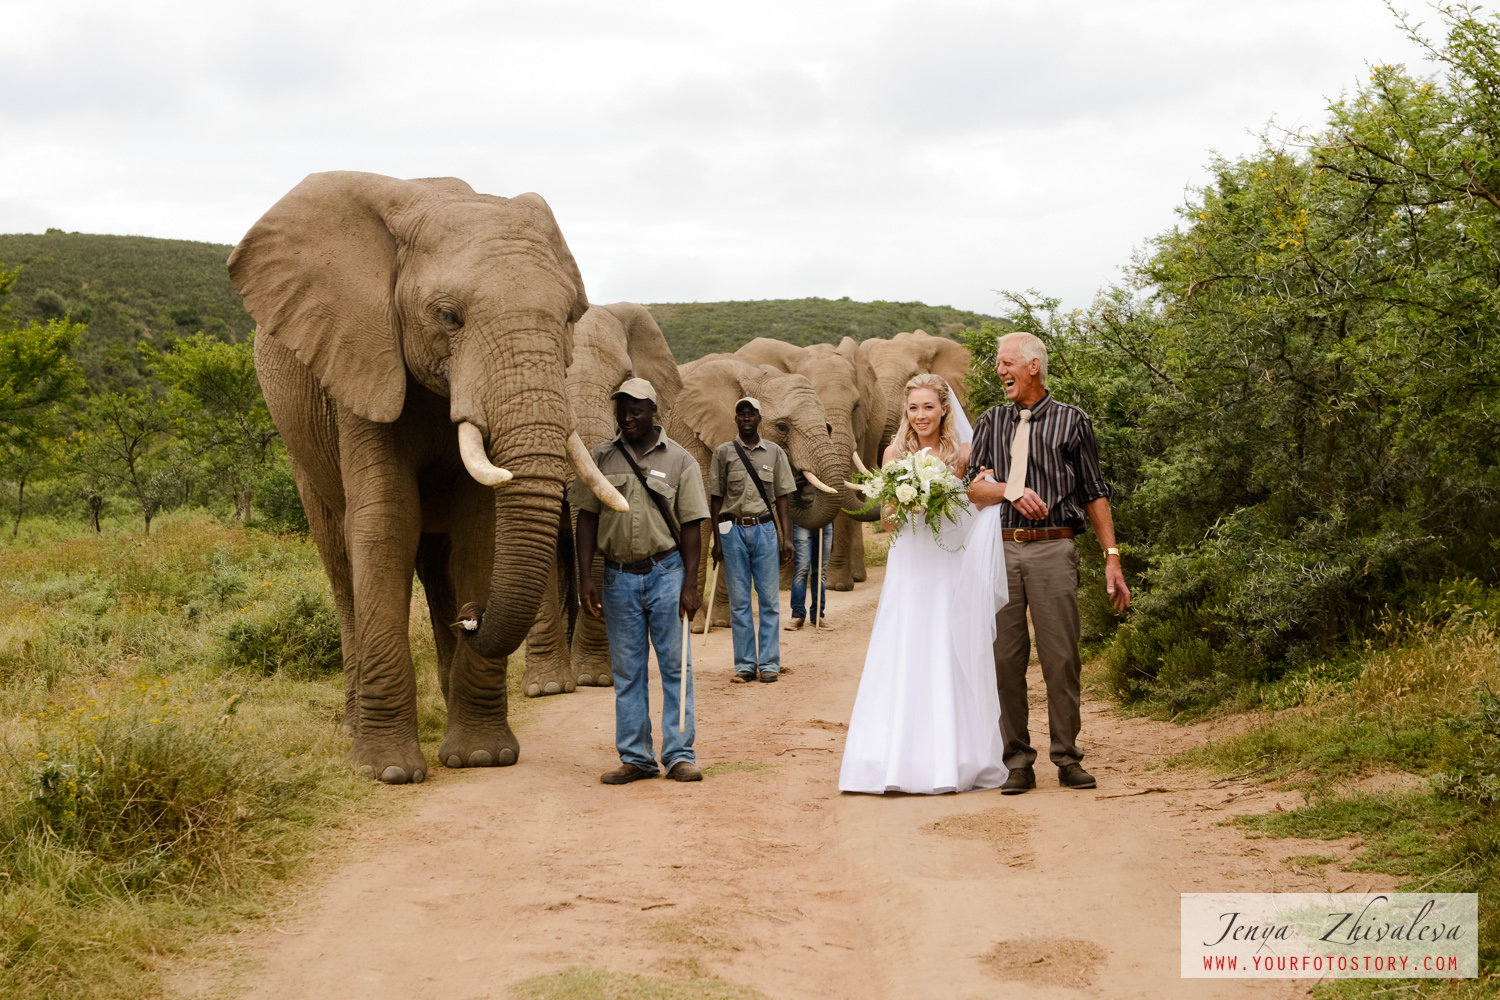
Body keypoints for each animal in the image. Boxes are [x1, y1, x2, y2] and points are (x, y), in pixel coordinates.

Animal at [229, 171, 624, 784]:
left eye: (569, 318)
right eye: (448, 317)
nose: (474, 619)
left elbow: (477, 530)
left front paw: (482, 758)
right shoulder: (361, 360)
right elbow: (386, 522)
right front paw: (387, 771)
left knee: (438, 566)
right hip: (302, 449)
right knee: (340, 561)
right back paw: (352, 728)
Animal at [665, 355, 845, 631]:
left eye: (828, 426)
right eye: (782, 427)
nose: (799, 477)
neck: (752, 375)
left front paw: (724, 622)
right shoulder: (689, 435)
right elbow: (703, 515)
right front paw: (696, 626)